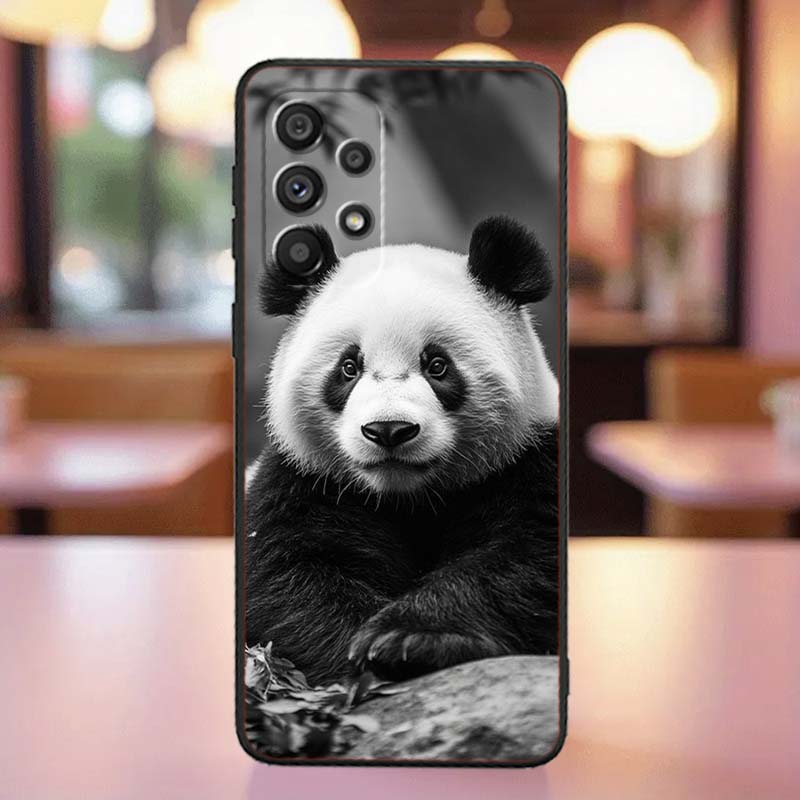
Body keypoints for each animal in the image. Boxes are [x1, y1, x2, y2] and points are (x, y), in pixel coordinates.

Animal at [245, 215, 560, 686]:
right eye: (348, 367)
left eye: (437, 365)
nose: (389, 430)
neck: (408, 498)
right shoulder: (302, 479)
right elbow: (288, 578)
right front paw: (360, 649)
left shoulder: (528, 460)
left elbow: (523, 558)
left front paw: (406, 638)